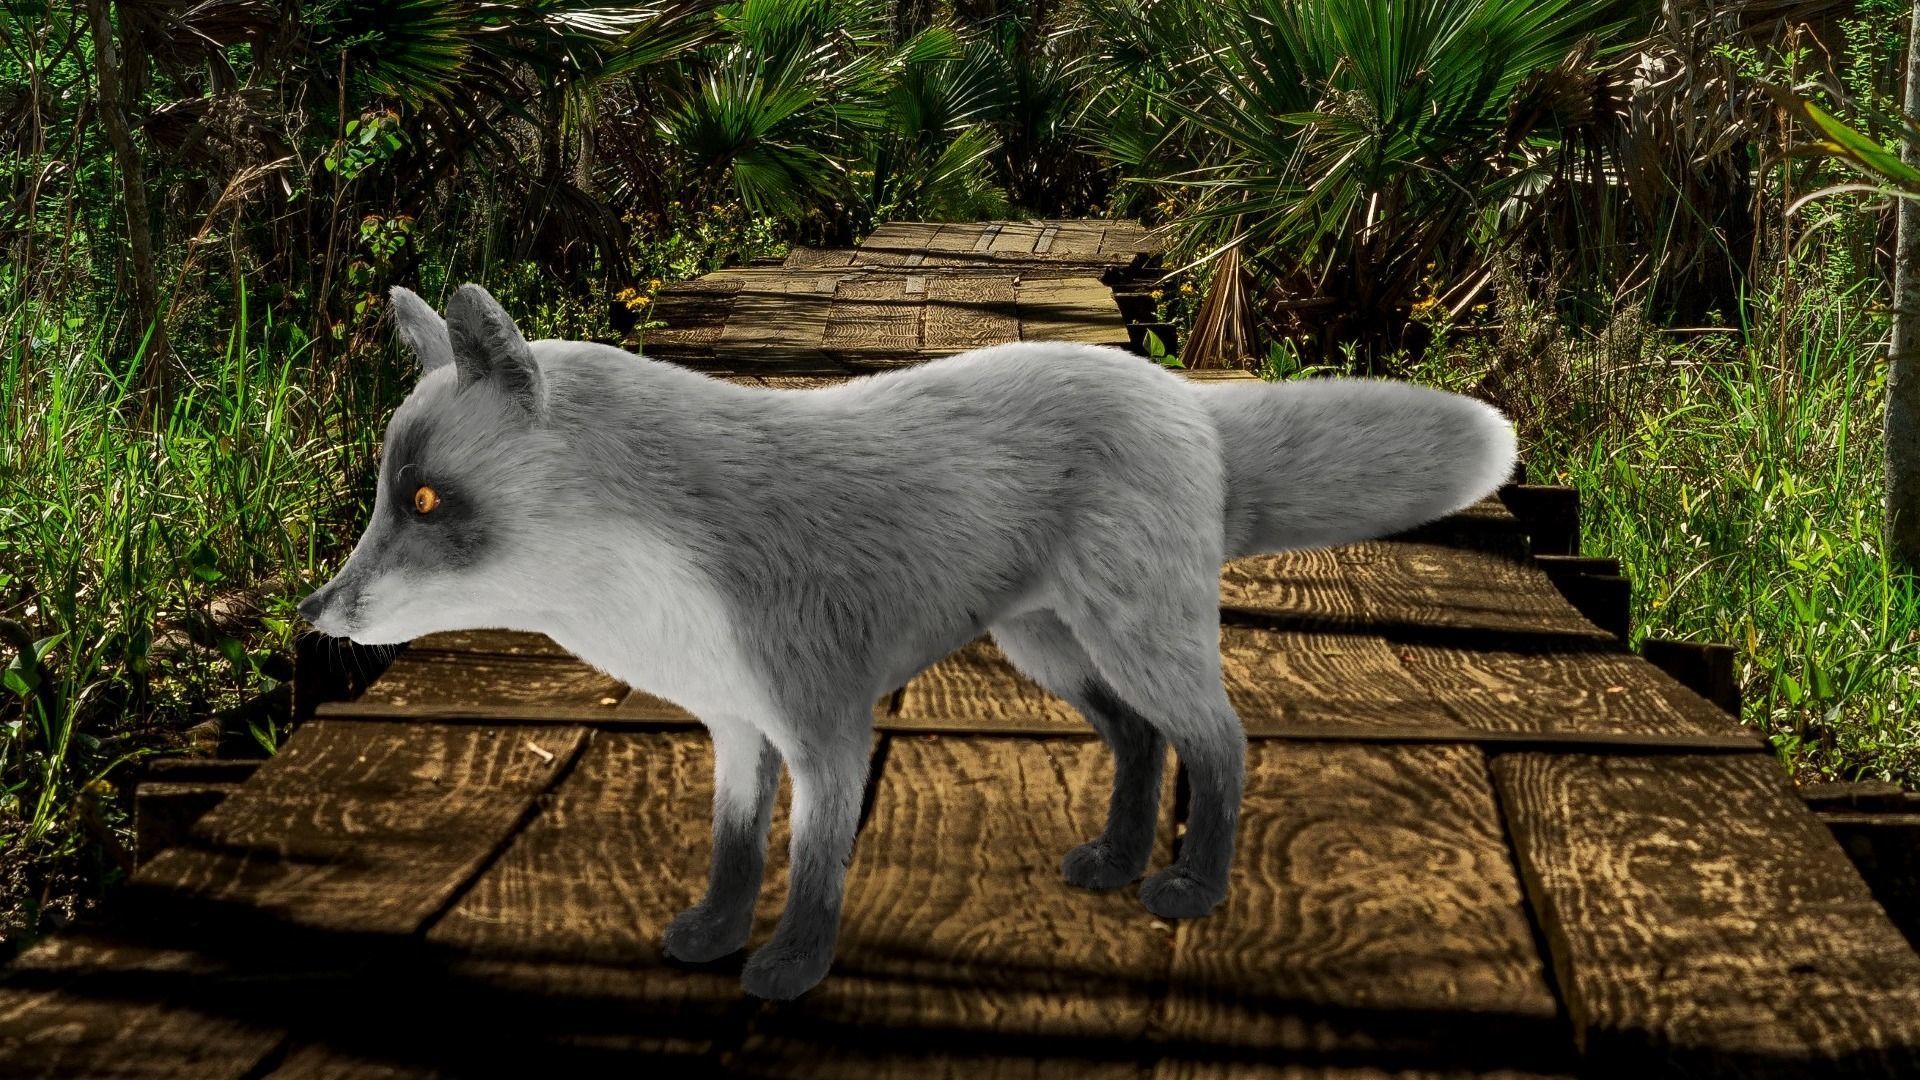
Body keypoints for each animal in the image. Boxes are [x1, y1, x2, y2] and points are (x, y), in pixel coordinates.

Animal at [299, 283, 1518, 1001]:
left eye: (423, 500)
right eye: (385, 495)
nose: (316, 612)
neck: (654, 578)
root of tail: (1177, 394)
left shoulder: (828, 728)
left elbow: (814, 866)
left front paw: (791, 967)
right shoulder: (736, 726)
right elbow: (736, 852)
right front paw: (715, 934)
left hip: (1134, 639)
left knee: (1222, 744)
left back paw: (1191, 886)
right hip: (1052, 651)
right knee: (1139, 743)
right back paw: (1115, 861)